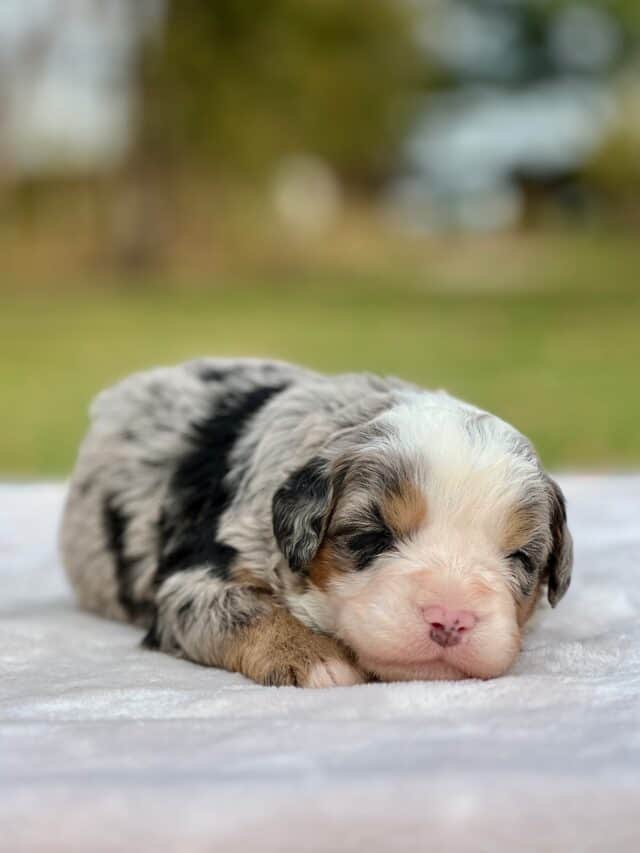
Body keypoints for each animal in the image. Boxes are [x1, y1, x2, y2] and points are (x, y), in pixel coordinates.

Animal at [60, 358, 572, 684]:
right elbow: (245, 610)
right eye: (371, 537)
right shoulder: (194, 580)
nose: (451, 618)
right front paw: (318, 661)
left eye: (521, 558)